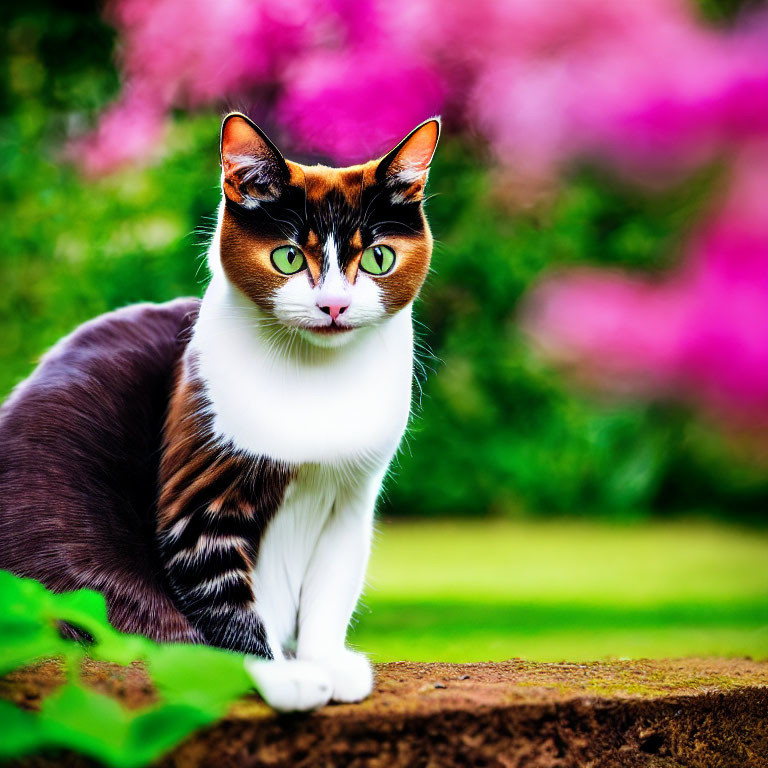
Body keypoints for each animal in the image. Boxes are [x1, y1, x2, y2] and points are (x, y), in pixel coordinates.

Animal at [0, 111, 438, 712]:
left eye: (378, 257)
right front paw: (283, 676)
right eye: (288, 257)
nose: (334, 305)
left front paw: (325, 660)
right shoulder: (202, 497)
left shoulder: (352, 497)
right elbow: (221, 599)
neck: (318, 380)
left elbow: (331, 589)